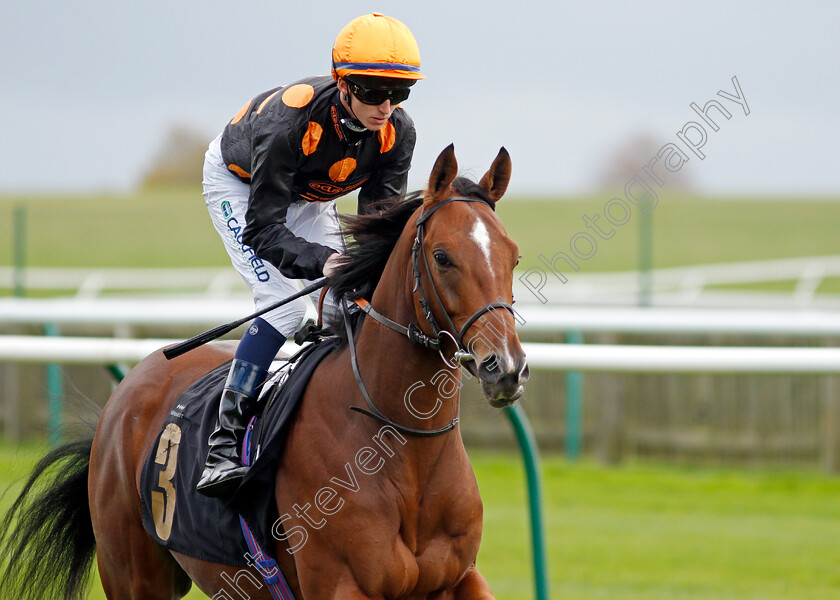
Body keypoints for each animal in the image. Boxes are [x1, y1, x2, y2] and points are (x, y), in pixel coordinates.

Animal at [1, 145, 532, 600]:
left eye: (514, 255)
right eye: (442, 257)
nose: (505, 367)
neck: (401, 446)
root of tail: (126, 390)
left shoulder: (459, 577)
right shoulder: (340, 583)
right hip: (133, 572)